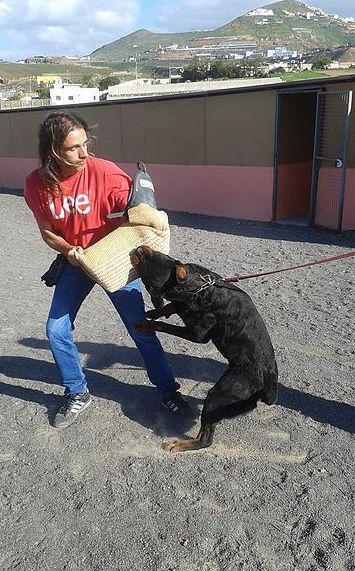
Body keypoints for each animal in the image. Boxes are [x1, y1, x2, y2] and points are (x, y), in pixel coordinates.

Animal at [131, 246, 278, 452]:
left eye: (147, 264)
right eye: (157, 254)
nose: (139, 248)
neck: (196, 287)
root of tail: (268, 387)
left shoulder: (198, 335)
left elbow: (163, 324)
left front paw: (146, 324)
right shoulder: (182, 304)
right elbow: (170, 307)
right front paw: (154, 311)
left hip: (219, 395)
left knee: (205, 439)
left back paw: (179, 444)